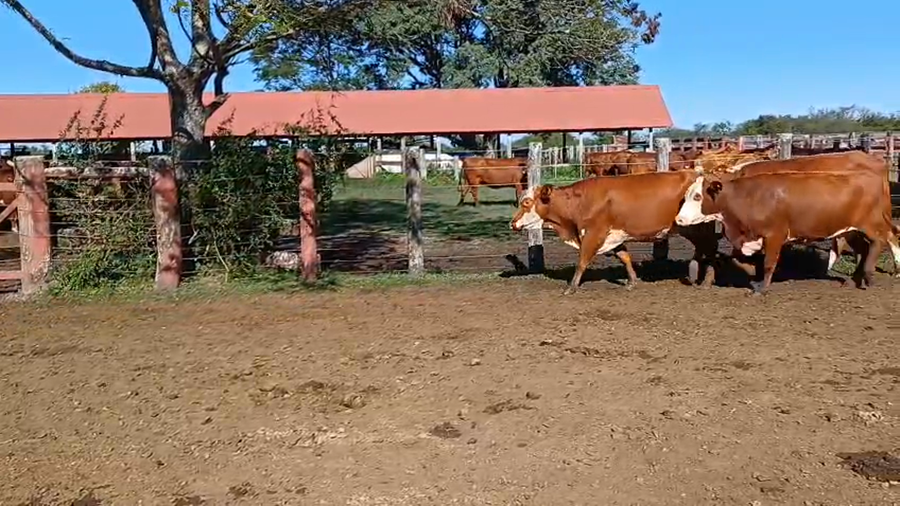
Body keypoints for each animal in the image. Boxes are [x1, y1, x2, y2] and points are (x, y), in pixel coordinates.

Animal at [509, 170, 719, 294]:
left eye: (526, 202)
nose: (513, 223)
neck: (579, 202)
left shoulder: (593, 234)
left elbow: (582, 261)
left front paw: (571, 287)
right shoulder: (614, 235)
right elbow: (624, 257)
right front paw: (632, 281)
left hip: (697, 228)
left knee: (710, 250)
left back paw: (707, 281)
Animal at [674, 169, 900, 294]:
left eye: (697, 196)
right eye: (686, 195)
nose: (679, 219)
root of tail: (873, 177)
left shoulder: (774, 235)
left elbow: (768, 263)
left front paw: (761, 290)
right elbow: (742, 260)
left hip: (871, 224)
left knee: (881, 242)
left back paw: (869, 276)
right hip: (850, 230)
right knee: (864, 249)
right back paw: (855, 280)